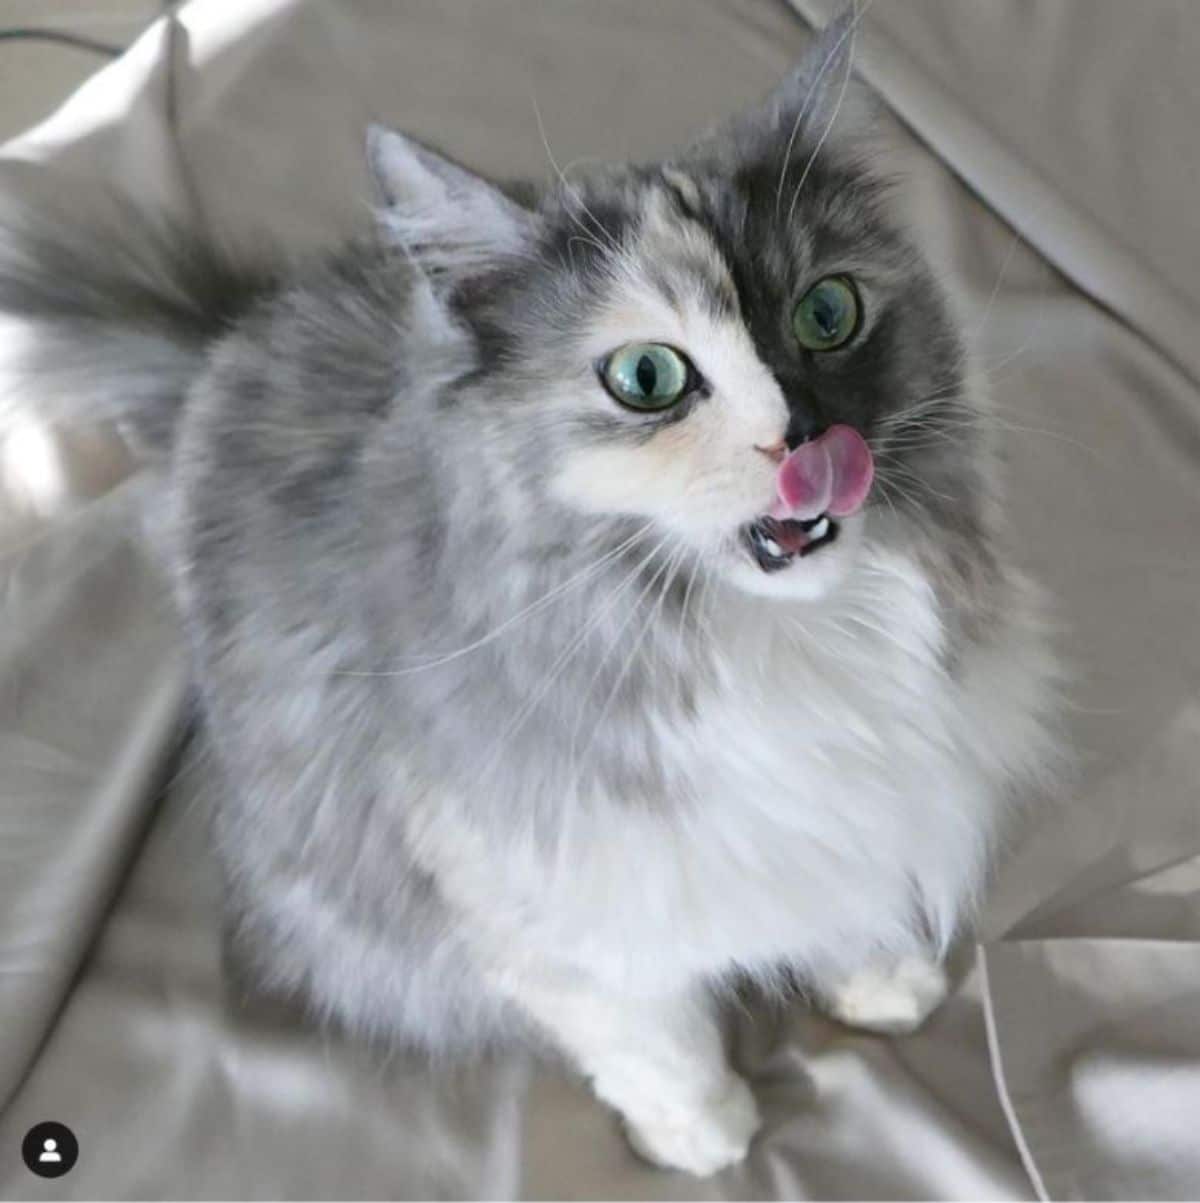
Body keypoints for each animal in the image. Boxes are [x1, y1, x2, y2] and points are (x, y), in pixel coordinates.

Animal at [0, 9, 1062, 1174]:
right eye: (647, 379)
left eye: (828, 313)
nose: (810, 436)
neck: (765, 637)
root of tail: (221, 342)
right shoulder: (551, 906)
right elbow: (654, 1039)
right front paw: (705, 1136)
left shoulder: (864, 794)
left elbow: (845, 894)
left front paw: (878, 981)